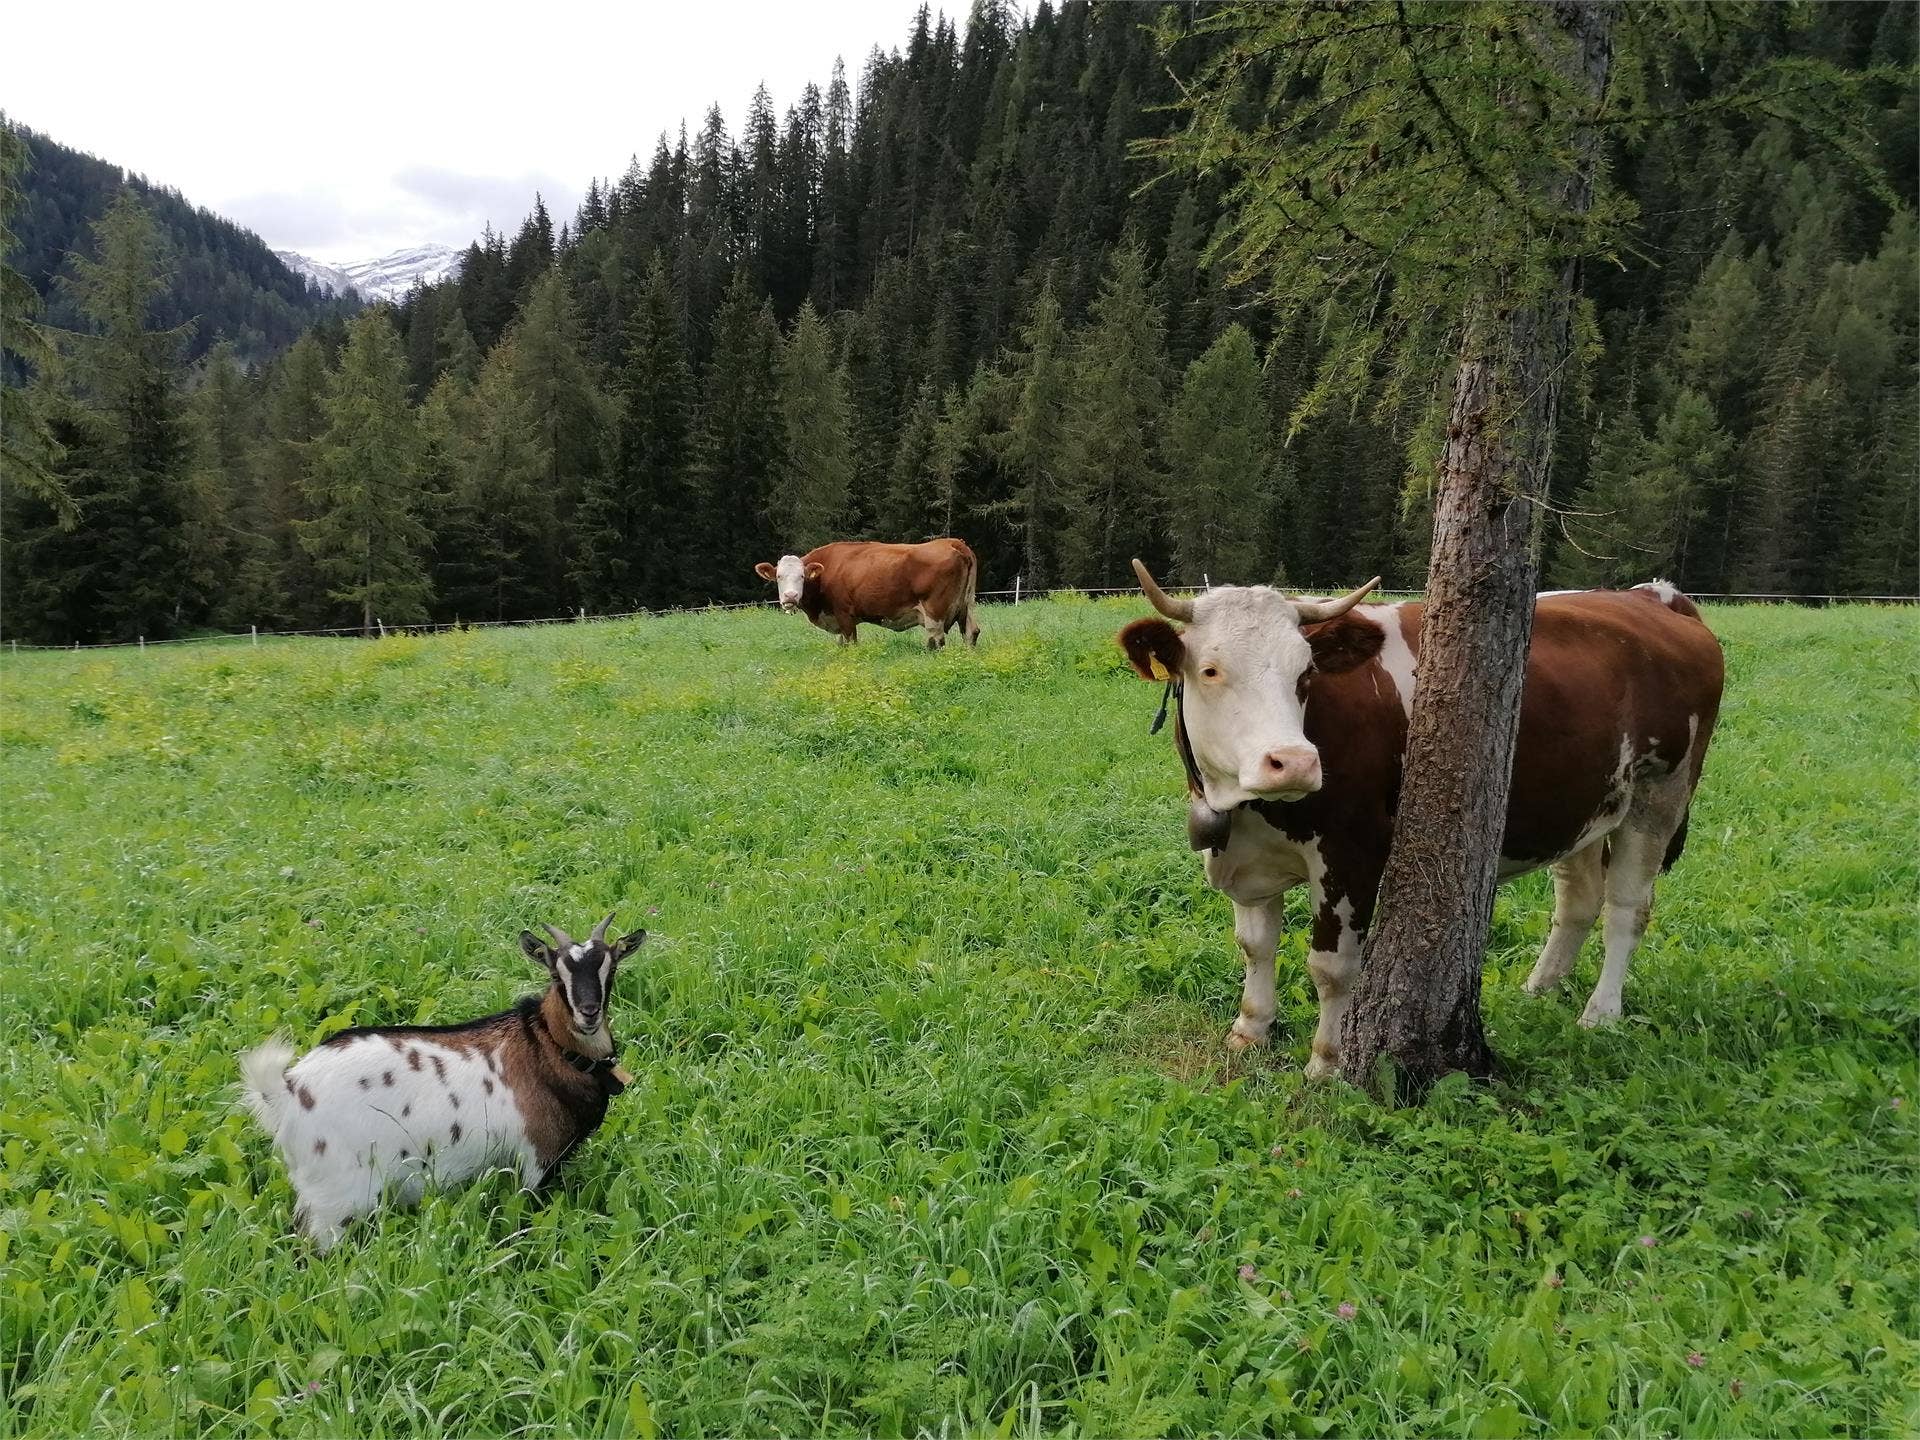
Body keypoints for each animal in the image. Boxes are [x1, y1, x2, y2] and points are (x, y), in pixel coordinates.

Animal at [238, 917, 645, 1259]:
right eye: (557, 975)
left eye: (611, 969)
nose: (589, 1013)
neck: (547, 1046)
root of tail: (289, 1090)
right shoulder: (533, 1160)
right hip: (335, 1202)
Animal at [752, 537, 983, 652]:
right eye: (779, 576)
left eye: (802, 576)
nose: (790, 597)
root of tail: (952, 541)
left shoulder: (845, 615)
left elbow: (851, 643)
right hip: (966, 604)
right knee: (971, 632)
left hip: (935, 610)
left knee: (937, 640)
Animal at [1113, 564, 1728, 1082]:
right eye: (1211, 669)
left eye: (1305, 674)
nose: (1294, 761)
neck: (1243, 809)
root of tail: (1652, 597)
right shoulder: (1248, 858)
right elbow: (1255, 945)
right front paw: (1251, 1030)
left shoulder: (1351, 853)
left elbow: (1332, 966)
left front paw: (1326, 1064)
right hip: (1587, 803)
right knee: (1578, 900)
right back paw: (1538, 989)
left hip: (1659, 796)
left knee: (1627, 909)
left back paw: (1600, 1014)